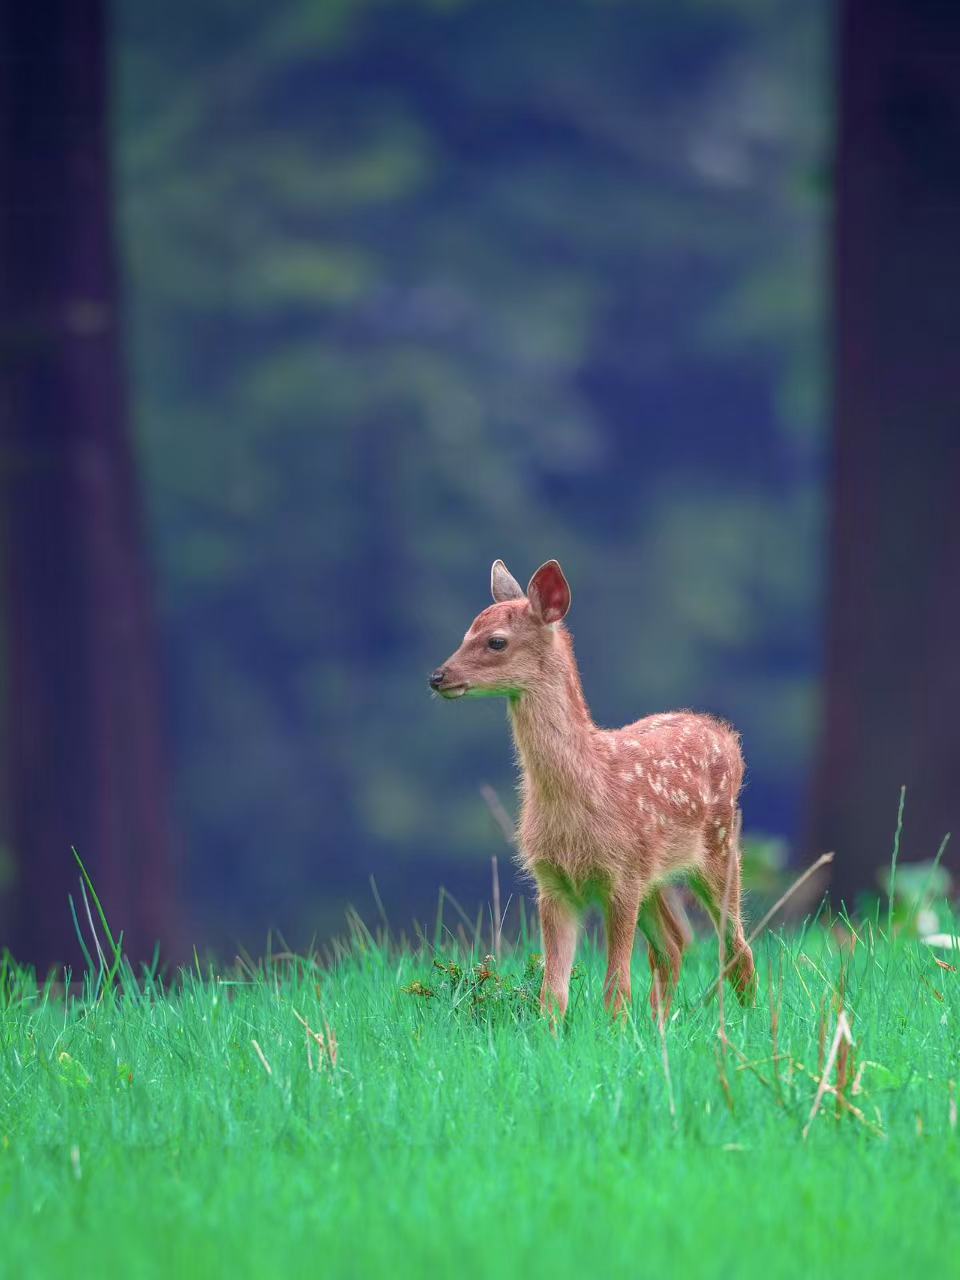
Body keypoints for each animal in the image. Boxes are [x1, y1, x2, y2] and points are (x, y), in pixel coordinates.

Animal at [428, 558, 756, 1021]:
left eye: (496, 641)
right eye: (465, 633)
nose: (438, 677)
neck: (586, 788)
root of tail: (726, 734)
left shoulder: (622, 878)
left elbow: (615, 987)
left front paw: (616, 1028)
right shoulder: (554, 883)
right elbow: (552, 991)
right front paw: (551, 1034)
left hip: (719, 847)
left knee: (736, 946)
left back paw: (746, 1020)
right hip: (655, 876)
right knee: (673, 947)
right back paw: (659, 1023)